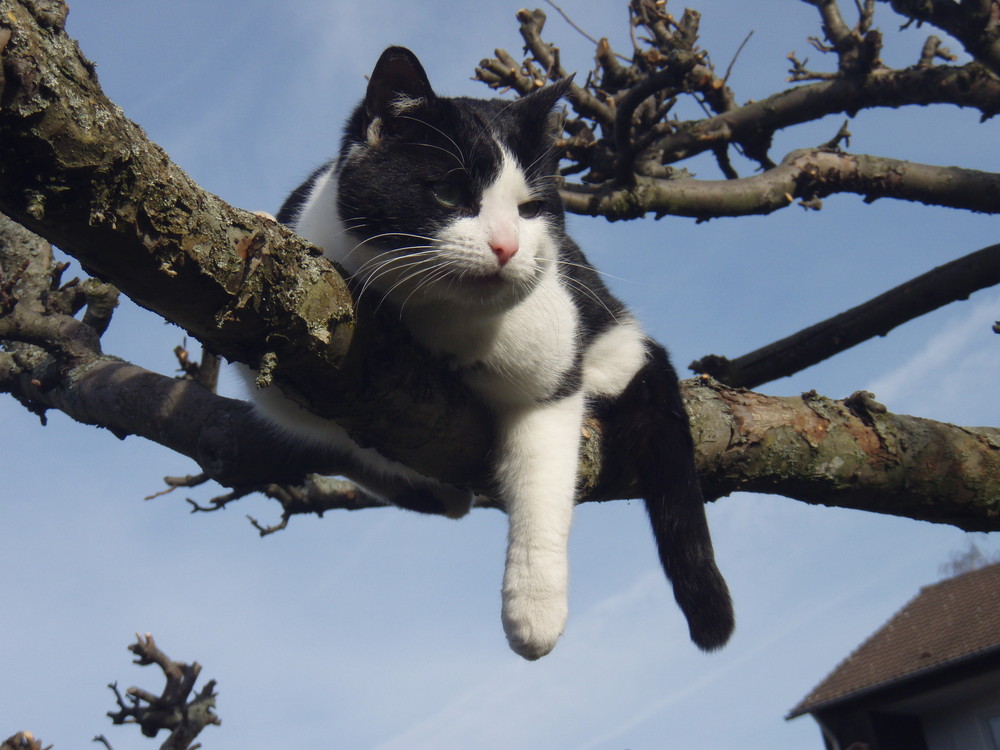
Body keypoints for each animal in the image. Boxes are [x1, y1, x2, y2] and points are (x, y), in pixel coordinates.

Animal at [239, 44, 732, 660]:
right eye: (450, 193)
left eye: (531, 209)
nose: (506, 246)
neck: (444, 324)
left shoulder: (550, 382)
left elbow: (542, 491)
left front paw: (535, 611)